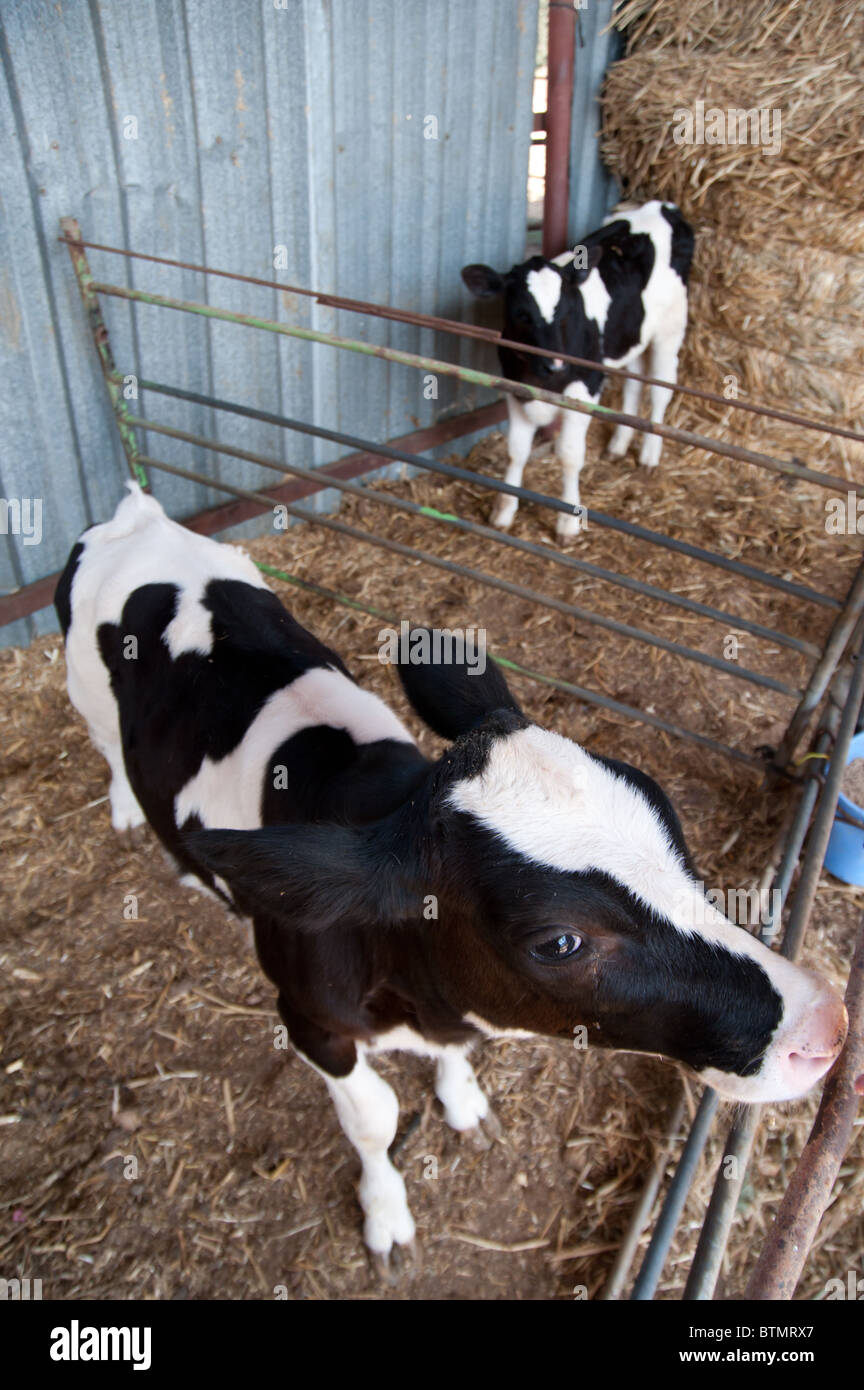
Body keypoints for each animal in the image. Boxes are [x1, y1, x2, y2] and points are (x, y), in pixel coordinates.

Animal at [57, 489, 850, 1273]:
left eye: (666, 813)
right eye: (559, 942)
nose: (826, 1024)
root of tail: (138, 515)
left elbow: (455, 1058)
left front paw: (463, 1101)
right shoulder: (307, 1018)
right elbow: (374, 1120)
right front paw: (386, 1215)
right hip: (83, 690)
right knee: (106, 747)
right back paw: (131, 815)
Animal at [461, 201, 697, 536]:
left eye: (566, 309)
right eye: (521, 313)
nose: (555, 364)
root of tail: (663, 206)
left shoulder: (585, 386)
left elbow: (570, 456)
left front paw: (568, 523)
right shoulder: (513, 386)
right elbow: (516, 450)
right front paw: (504, 511)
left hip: (671, 327)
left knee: (660, 390)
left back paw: (650, 455)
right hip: (630, 334)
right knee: (634, 385)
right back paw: (618, 445)